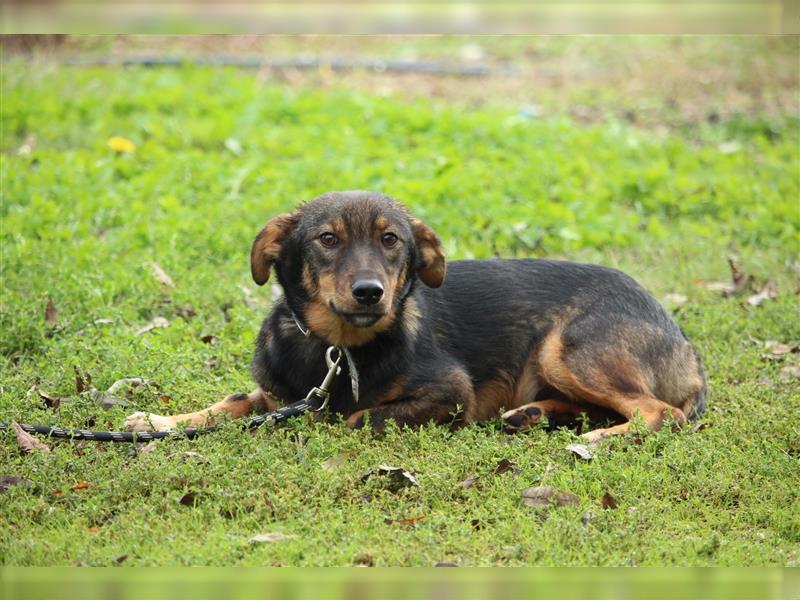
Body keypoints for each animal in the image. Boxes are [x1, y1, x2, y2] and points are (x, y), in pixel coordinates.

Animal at [125, 190, 708, 442]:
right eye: (327, 239)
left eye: (391, 241)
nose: (369, 293)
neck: (339, 349)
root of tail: (684, 343)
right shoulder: (278, 394)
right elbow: (230, 403)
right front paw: (158, 422)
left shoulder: (450, 393)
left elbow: (359, 416)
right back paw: (532, 415)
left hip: (566, 347)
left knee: (660, 413)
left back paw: (596, 438)